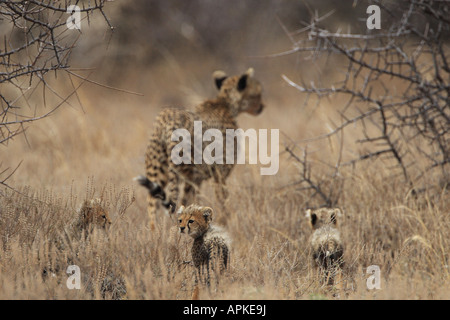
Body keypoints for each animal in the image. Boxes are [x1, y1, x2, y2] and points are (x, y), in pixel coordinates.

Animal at [137, 68, 264, 221]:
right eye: (258, 94)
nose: (262, 106)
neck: (225, 103)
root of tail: (169, 118)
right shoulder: (219, 174)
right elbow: (222, 200)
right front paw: (226, 220)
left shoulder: (198, 180)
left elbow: (194, 203)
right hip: (184, 172)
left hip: (157, 172)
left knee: (153, 208)